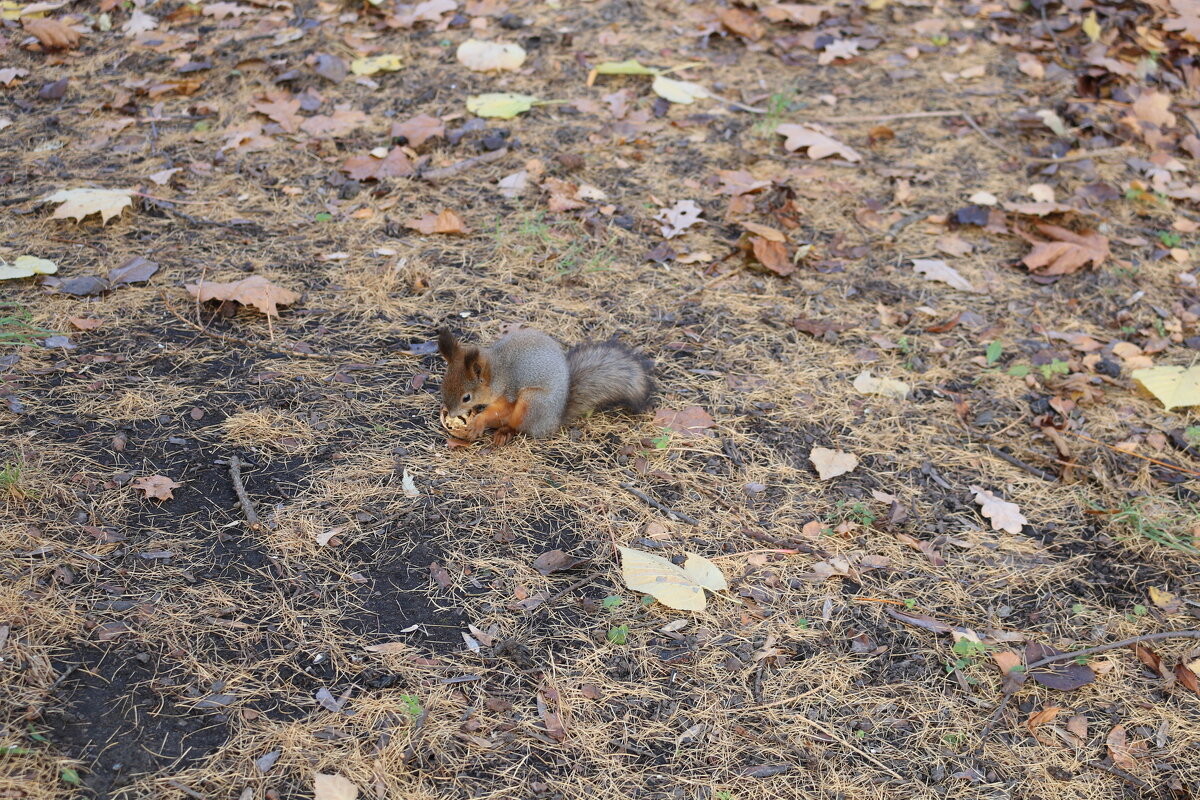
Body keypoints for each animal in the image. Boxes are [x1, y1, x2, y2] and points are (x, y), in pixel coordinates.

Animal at [436, 328, 652, 448]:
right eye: (443, 385)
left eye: (466, 397)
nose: (451, 413)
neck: (499, 372)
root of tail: (553, 421)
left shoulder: (510, 392)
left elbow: (500, 410)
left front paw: (479, 421)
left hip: (533, 403)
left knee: (518, 426)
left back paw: (504, 433)